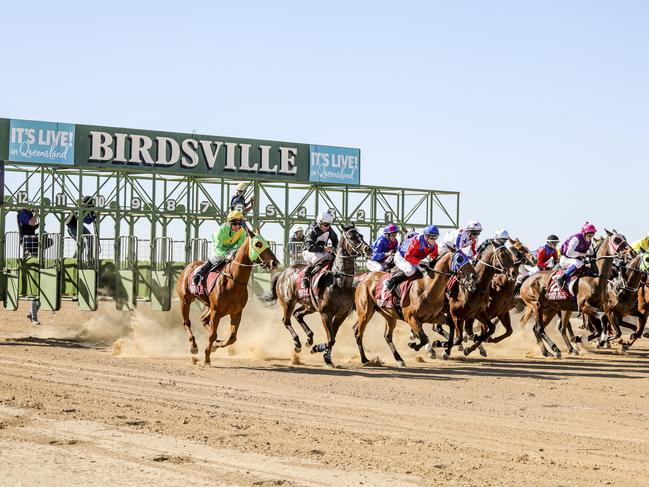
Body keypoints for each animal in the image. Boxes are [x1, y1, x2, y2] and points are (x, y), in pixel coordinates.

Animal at [175, 227, 278, 364]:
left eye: (267, 242)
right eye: (258, 244)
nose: (275, 263)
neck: (233, 281)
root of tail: (188, 268)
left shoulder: (236, 312)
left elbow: (232, 337)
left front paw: (217, 344)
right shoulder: (216, 311)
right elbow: (212, 334)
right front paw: (206, 358)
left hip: (212, 307)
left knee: (203, 319)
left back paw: (214, 343)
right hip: (186, 300)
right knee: (186, 322)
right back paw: (193, 346)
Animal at [266, 223, 372, 368]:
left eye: (360, 235)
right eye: (351, 237)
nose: (368, 249)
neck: (340, 281)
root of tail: (282, 273)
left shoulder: (341, 315)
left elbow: (333, 338)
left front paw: (325, 356)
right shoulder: (325, 313)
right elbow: (331, 339)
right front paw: (318, 350)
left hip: (309, 306)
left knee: (298, 314)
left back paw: (309, 339)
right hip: (288, 303)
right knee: (286, 321)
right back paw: (298, 344)